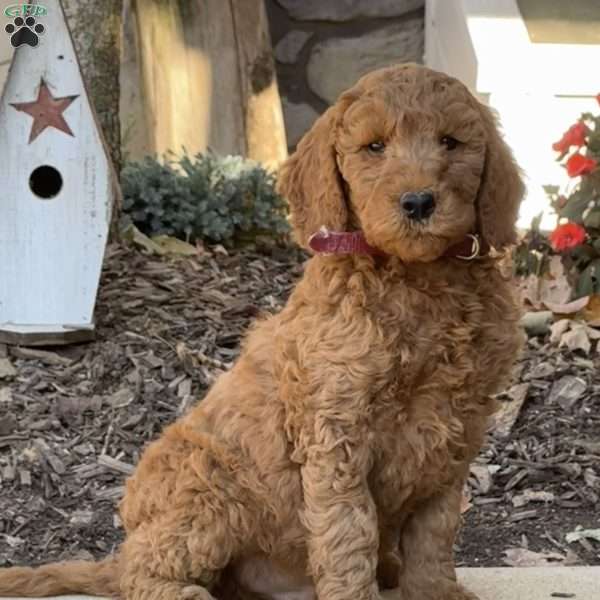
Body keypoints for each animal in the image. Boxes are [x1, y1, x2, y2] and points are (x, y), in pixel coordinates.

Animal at [0, 63, 524, 596]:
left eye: (451, 142)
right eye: (374, 147)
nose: (418, 202)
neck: (419, 280)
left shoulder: (455, 430)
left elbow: (435, 534)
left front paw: (437, 592)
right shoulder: (337, 434)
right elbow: (348, 534)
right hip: (207, 483)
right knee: (142, 568)